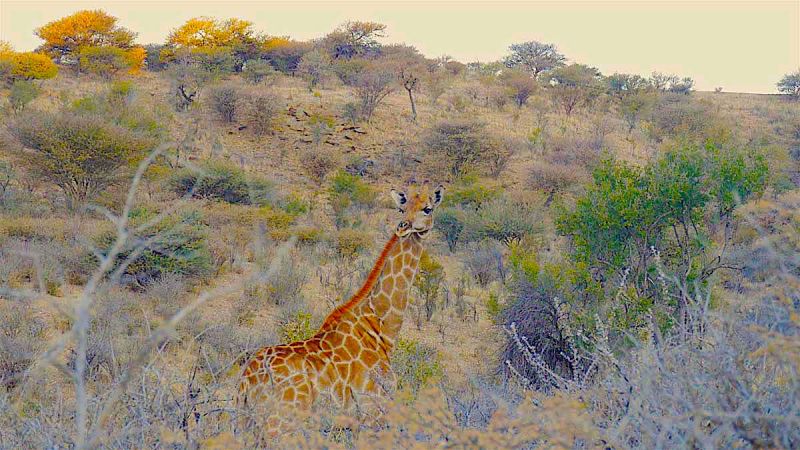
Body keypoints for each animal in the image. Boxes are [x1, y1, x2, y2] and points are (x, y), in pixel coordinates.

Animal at [241, 182, 446, 432]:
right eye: (401, 208)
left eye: (427, 209)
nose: (403, 226)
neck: (380, 330)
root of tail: (248, 379)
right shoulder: (372, 411)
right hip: (280, 421)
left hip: (247, 419)